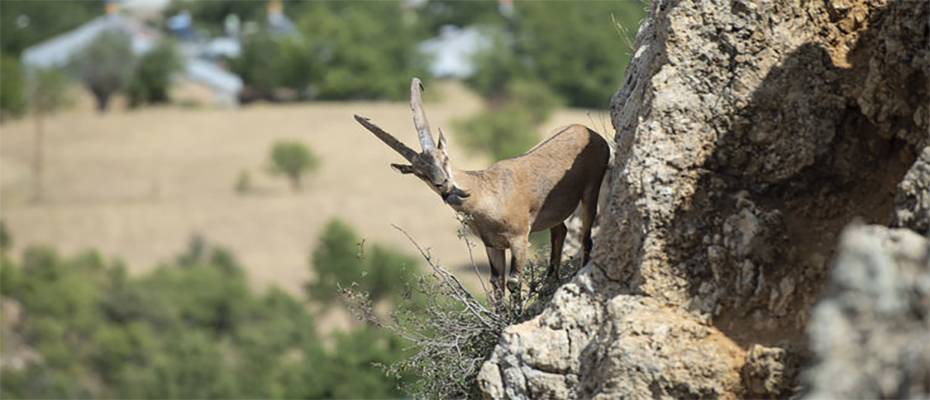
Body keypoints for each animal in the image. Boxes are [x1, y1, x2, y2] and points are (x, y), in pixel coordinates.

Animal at [352, 78, 604, 296]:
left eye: (444, 158)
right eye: (420, 173)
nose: (444, 185)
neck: (488, 196)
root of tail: (587, 131)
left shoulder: (519, 239)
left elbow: (513, 281)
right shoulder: (492, 245)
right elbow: (496, 283)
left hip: (592, 189)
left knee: (585, 237)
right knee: (560, 231)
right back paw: (550, 283)